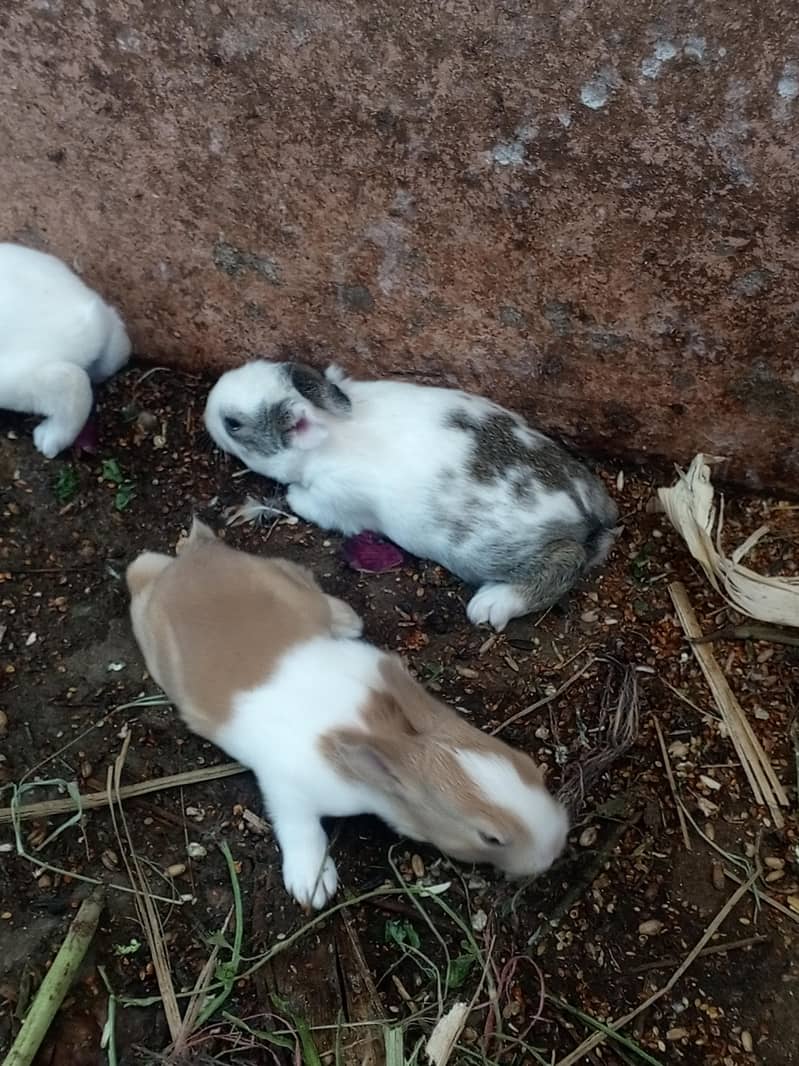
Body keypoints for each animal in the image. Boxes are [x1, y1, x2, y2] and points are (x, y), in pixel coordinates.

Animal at [127, 520, 569, 910]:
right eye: (489, 837)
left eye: (528, 765)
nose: (554, 849)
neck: (385, 730)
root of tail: (195, 556)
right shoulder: (286, 791)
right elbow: (301, 830)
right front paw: (312, 885)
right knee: (138, 571)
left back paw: (346, 619)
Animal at [204, 360, 619, 631]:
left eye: (234, 424)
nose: (208, 407)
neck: (334, 432)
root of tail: (586, 510)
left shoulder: (334, 500)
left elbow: (305, 501)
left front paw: (288, 495)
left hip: (498, 553)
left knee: (564, 563)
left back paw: (491, 604)